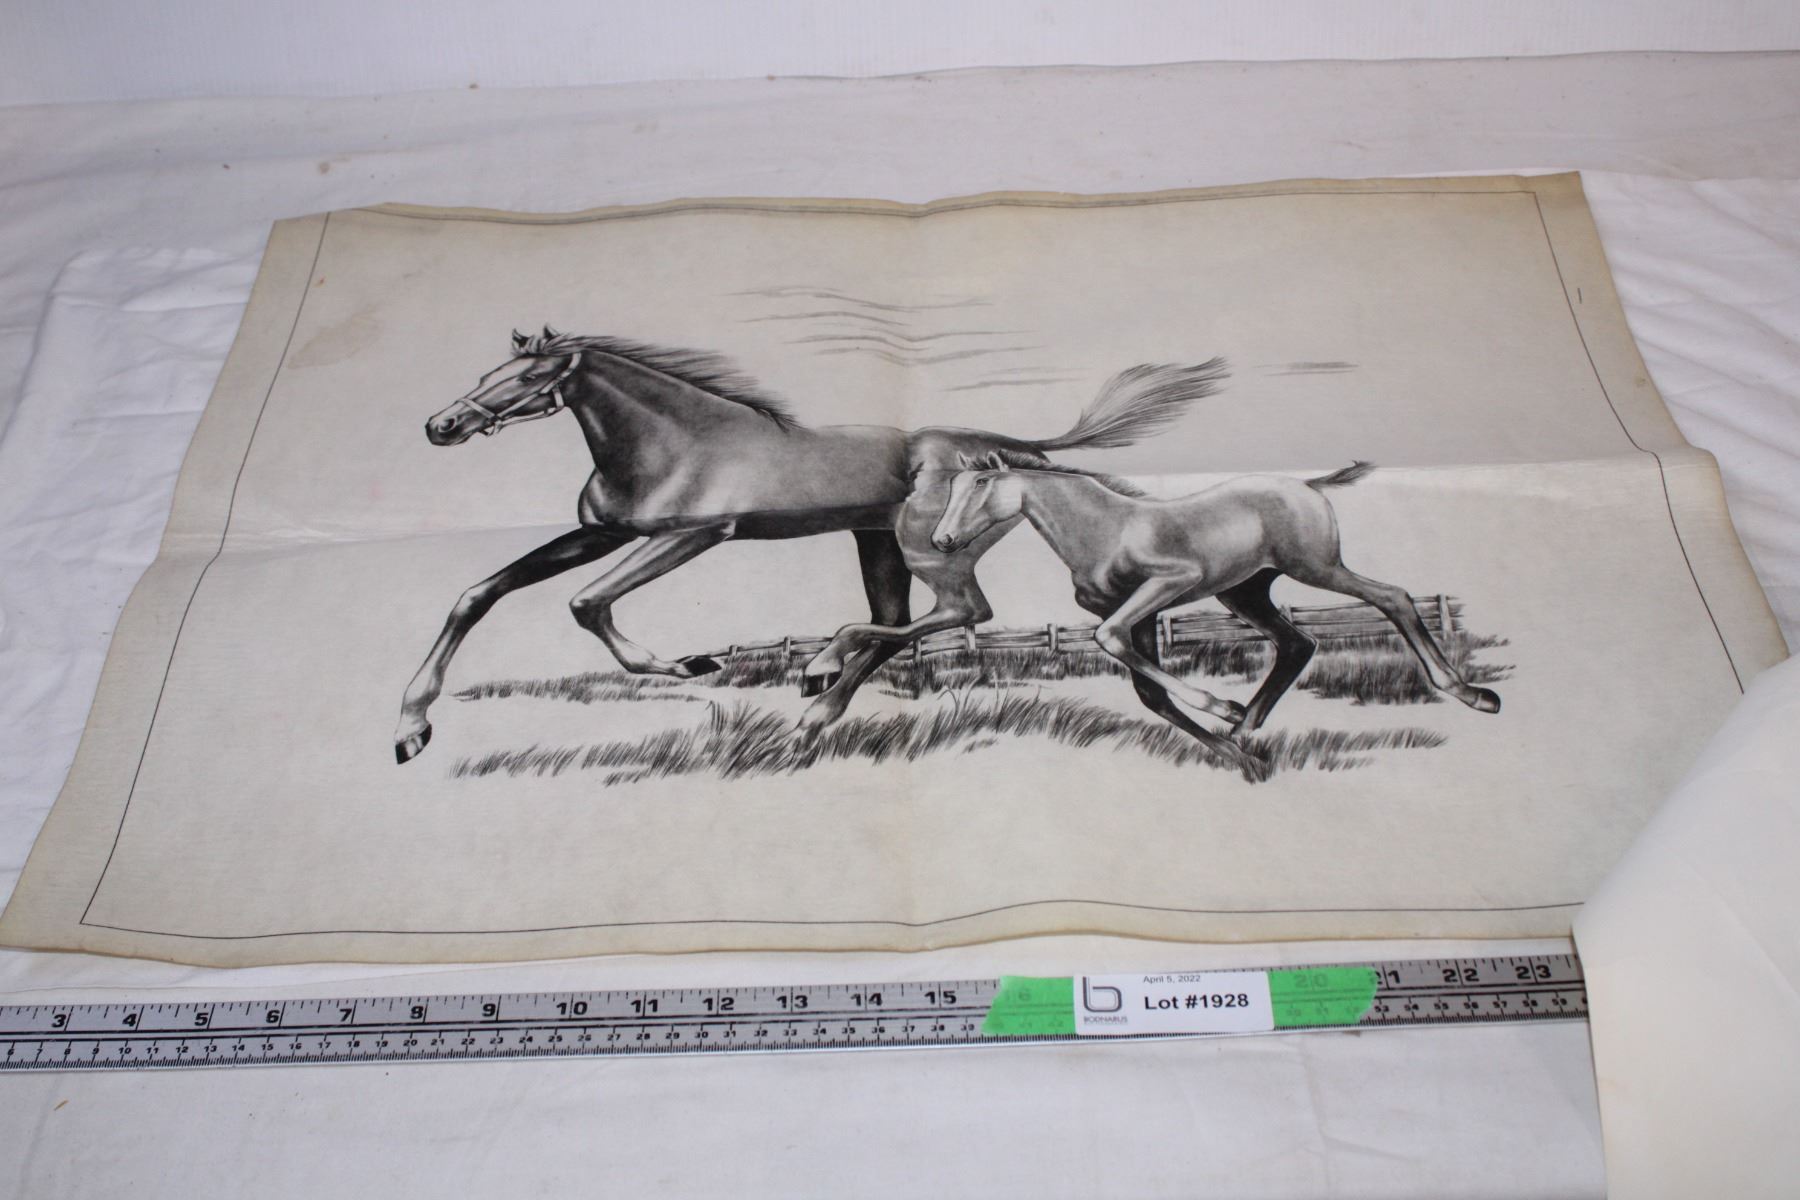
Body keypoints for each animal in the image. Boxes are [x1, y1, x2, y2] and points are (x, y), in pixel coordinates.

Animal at [396, 326, 1229, 761]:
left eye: (520, 379)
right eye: (488, 370)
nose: (441, 425)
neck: (668, 443)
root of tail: (1008, 449)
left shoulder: (694, 536)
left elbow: (585, 604)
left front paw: (689, 663)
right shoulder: (601, 533)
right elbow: (480, 594)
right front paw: (412, 727)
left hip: (930, 544)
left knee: (957, 613)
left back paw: (818, 681)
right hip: (880, 543)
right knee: (902, 622)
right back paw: (817, 703)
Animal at [917, 452, 1502, 769]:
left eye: (981, 483)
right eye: (953, 485)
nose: (941, 539)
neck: (1104, 529)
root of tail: (1306, 485)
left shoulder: (1168, 585)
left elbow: (1109, 639)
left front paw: (1222, 707)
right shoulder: (1142, 616)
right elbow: (1148, 691)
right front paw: (1234, 749)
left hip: (1316, 567)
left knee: (1392, 597)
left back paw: (1473, 694)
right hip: (1244, 593)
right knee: (1298, 642)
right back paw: (1246, 732)